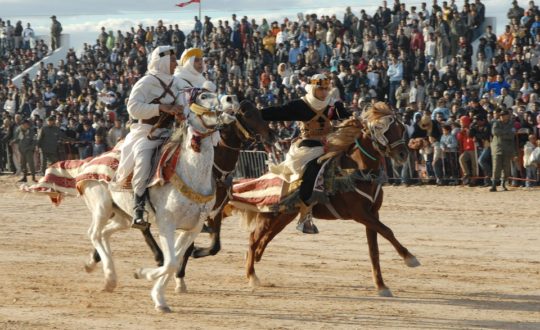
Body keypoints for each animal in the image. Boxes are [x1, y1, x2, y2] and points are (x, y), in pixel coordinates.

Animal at [81, 91, 233, 314]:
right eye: (204, 96)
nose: (231, 99)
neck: (191, 173)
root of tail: (90, 162)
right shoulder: (166, 223)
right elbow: (170, 262)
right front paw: (145, 278)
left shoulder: (193, 228)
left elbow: (175, 260)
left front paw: (156, 293)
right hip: (102, 206)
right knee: (94, 233)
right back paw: (107, 276)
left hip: (123, 216)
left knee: (105, 233)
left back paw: (105, 276)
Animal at [231, 102, 418, 296]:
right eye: (380, 129)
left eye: (401, 128)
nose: (403, 154)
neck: (358, 171)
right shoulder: (360, 213)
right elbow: (387, 231)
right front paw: (410, 258)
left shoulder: (373, 213)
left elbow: (374, 249)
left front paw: (381, 286)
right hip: (270, 215)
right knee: (253, 238)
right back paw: (251, 275)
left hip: (285, 216)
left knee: (265, 238)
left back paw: (255, 259)